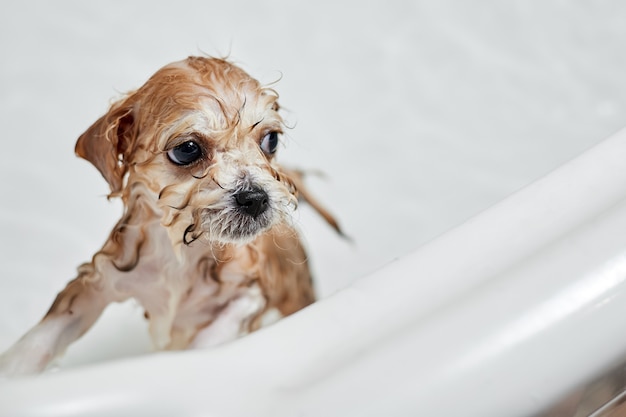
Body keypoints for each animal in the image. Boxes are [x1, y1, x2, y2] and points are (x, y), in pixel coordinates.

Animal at [0, 56, 336, 376]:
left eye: (271, 140)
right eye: (187, 149)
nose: (255, 199)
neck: (180, 254)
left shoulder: (252, 291)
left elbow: (213, 335)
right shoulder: (98, 282)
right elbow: (41, 339)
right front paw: (15, 373)